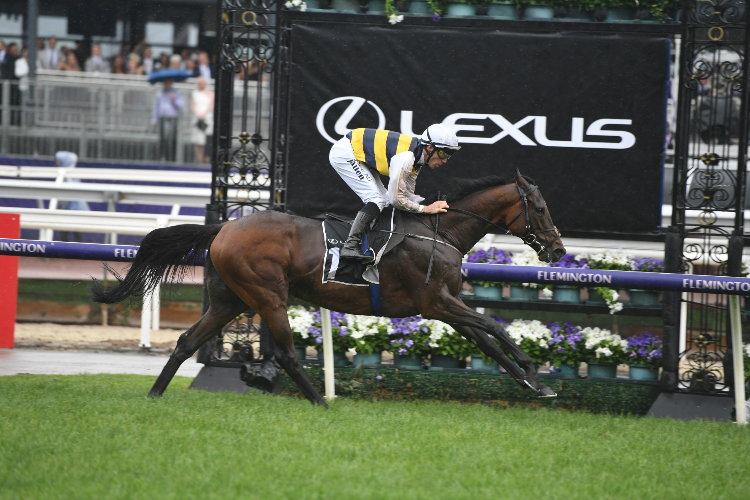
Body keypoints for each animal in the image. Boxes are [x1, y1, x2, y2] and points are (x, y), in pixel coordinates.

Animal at [91, 170, 568, 404]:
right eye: (542, 207)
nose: (558, 249)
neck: (439, 232)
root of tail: (223, 228)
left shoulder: (444, 304)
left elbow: (485, 339)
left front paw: (534, 384)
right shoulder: (434, 302)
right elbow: (497, 328)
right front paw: (534, 370)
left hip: (229, 301)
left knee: (187, 342)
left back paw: (155, 395)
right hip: (268, 295)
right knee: (284, 353)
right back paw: (320, 401)